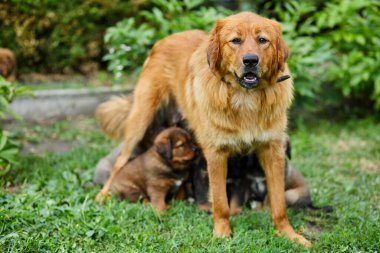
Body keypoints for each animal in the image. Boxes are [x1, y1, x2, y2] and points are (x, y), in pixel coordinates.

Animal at [96, 12, 310, 247]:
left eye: (262, 40)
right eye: (235, 41)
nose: (251, 60)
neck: (246, 99)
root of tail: (165, 39)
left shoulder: (272, 150)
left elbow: (278, 203)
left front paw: (288, 234)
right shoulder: (216, 154)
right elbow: (220, 202)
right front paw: (222, 233)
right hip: (140, 122)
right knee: (119, 163)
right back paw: (103, 195)